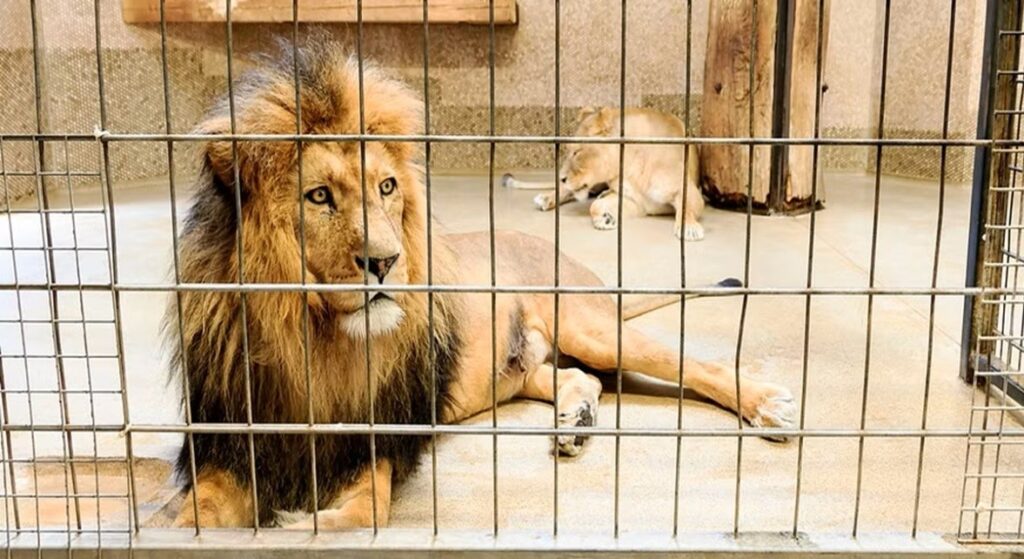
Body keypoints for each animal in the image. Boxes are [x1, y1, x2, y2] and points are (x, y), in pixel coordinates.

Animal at [524, 106, 708, 239]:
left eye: (577, 152)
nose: (561, 177)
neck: (628, 168)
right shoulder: (634, 200)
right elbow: (594, 206)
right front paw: (605, 218)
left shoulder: (686, 190)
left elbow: (685, 207)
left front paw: (689, 229)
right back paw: (546, 198)